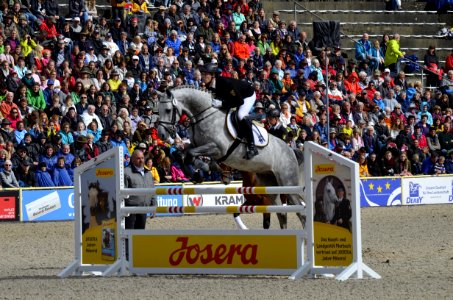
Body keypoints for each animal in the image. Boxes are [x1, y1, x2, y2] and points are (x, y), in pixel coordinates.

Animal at [157, 85, 306, 229]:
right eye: (157, 110)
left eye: (168, 110)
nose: (162, 135)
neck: (204, 116)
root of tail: (291, 150)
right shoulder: (195, 145)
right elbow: (180, 154)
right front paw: (198, 172)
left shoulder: (217, 149)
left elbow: (190, 155)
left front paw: (199, 172)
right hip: (270, 183)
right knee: (282, 213)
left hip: (288, 183)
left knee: (301, 212)